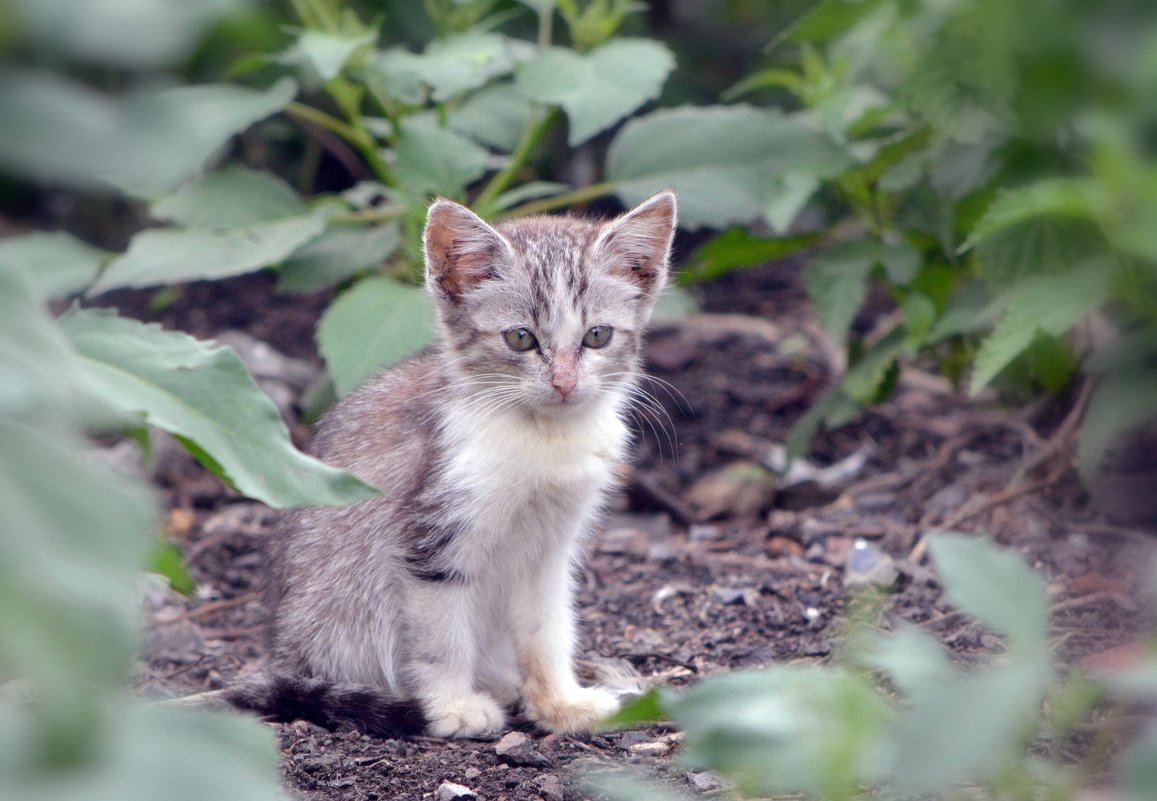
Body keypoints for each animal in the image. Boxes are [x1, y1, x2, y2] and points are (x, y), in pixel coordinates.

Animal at [229, 189, 675, 736]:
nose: (565, 383)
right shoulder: (432, 535)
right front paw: (453, 708)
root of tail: (282, 654)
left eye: (597, 336)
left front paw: (559, 702)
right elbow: (442, 635)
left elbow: (547, 626)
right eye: (520, 338)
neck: (543, 437)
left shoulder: (551, 547)